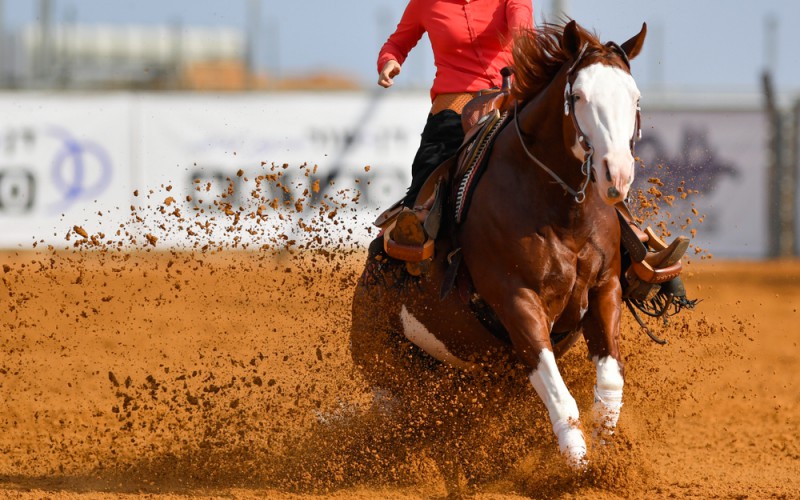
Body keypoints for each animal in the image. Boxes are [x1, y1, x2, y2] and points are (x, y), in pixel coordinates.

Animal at [354, 21, 648, 470]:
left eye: (634, 98)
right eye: (578, 96)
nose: (616, 174)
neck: (560, 211)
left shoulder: (605, 288)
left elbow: (611, 385)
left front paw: (605, 460)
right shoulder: (517, 300)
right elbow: (561, 400)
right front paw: (578, 468)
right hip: (391, 376)